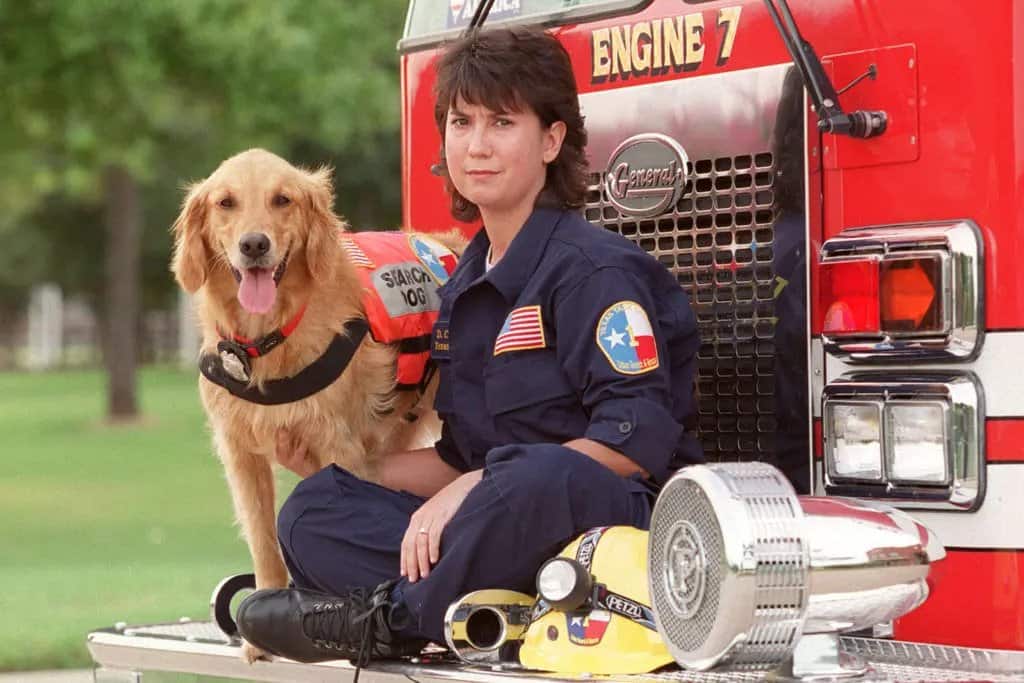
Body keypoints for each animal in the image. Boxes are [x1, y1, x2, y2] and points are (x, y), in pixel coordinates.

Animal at [171, 149, 464, 663]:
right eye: (226, 202)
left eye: (282, 200)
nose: (254, 244)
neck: (268, 339)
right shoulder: (241, 455)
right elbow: (265, 543)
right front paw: (257, 638)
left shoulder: (338, 447)